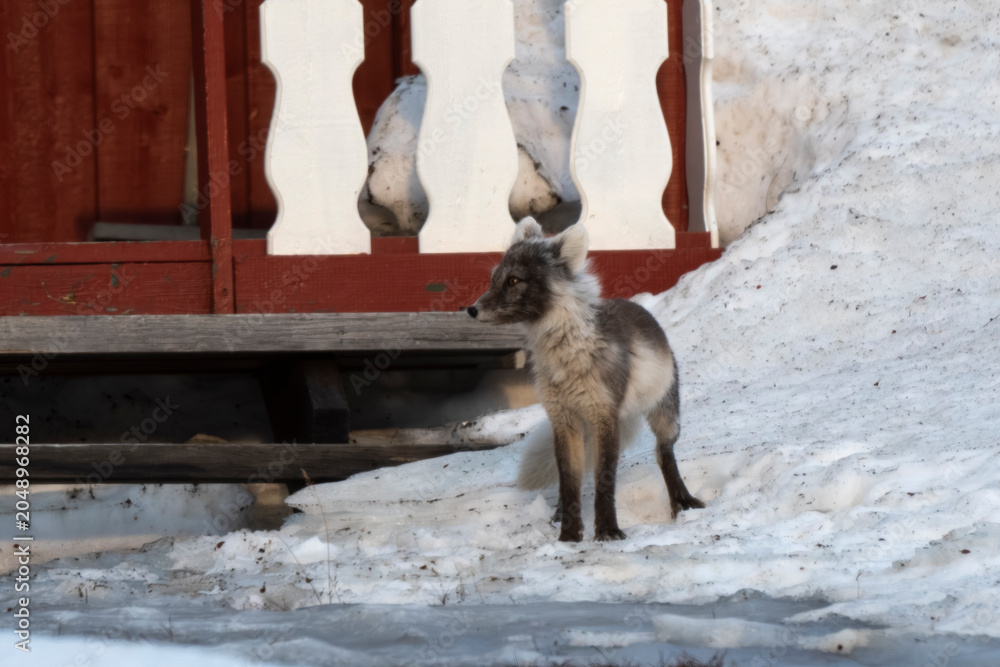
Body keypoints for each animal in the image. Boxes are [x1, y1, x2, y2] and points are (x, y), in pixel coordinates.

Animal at [467, 217, 704, 542]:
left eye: (514, 281)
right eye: (494, 279)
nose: (471, 310)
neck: (565, 358)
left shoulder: (604, 416)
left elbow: (604, 480)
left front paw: (607, 531)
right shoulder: (563, 420)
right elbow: (569, 483)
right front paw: (569, 535)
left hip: (665, 418)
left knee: (663, 455)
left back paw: (681, 501)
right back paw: (557, 516)